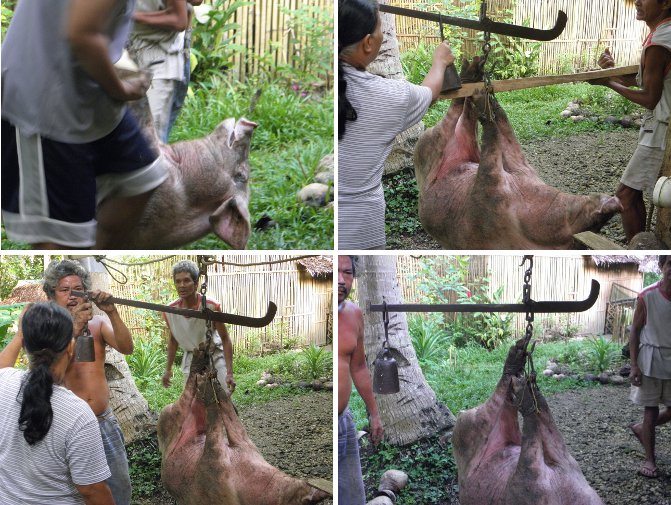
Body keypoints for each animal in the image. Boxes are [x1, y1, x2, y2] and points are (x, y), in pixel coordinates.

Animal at [155, 342, 328, 504]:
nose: (319, 491)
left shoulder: (236, 450)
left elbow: (228, 424)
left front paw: (214, 386)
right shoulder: (220, 464)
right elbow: (225, 422)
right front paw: (214, 386)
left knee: (196, 397)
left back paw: (204, 373)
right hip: (170, 415)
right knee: (187, 393)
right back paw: (203, 370)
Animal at [414, 60, 624, 249]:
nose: (616, 203)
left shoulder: (503, 181)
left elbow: (500, 140)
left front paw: (485, 98)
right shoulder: (499, 183)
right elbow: (501, 135)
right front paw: (486, 99)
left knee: (464, 118)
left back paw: (473, 78)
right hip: (430, 142)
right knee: (456, 112)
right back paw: (471, 76)